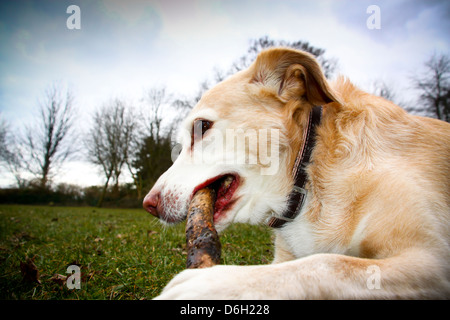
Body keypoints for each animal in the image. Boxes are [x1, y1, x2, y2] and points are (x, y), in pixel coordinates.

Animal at [144, 47, 450, 300]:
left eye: (202, 126)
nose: (149, 204)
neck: (307, 172)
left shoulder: (429, 259)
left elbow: (327, 263)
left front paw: (212, 284)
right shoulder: (283, 258)